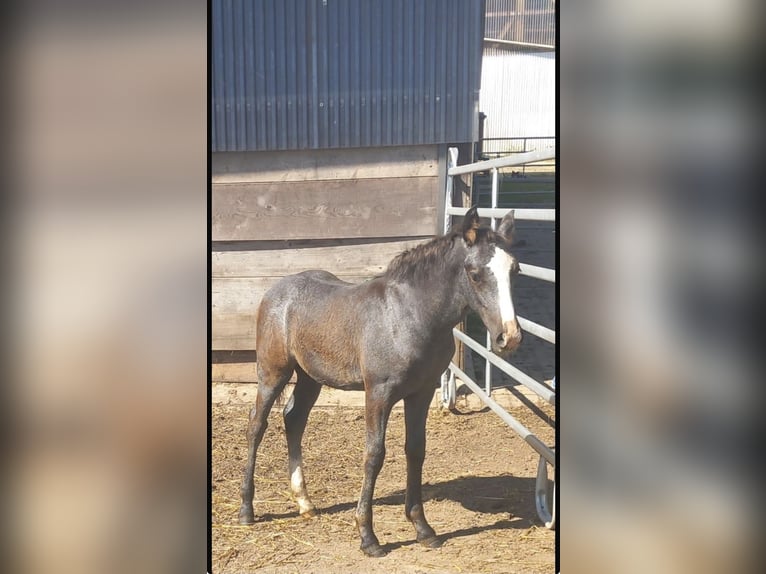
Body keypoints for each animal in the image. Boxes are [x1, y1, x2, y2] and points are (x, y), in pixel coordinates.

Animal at [238, 206, 523, 557]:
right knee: (256, 425)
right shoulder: (378, 393)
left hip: (311, 377)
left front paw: (423, 528)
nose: (509, 337)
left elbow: (416, 450)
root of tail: (276, 290)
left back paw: (305, 502)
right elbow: (374, 455)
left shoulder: (421, 392)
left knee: (294, 419)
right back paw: (247, 510)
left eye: (515, 270)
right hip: (272, 372)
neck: (410, 316)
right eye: (474, 273)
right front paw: (368, 536)